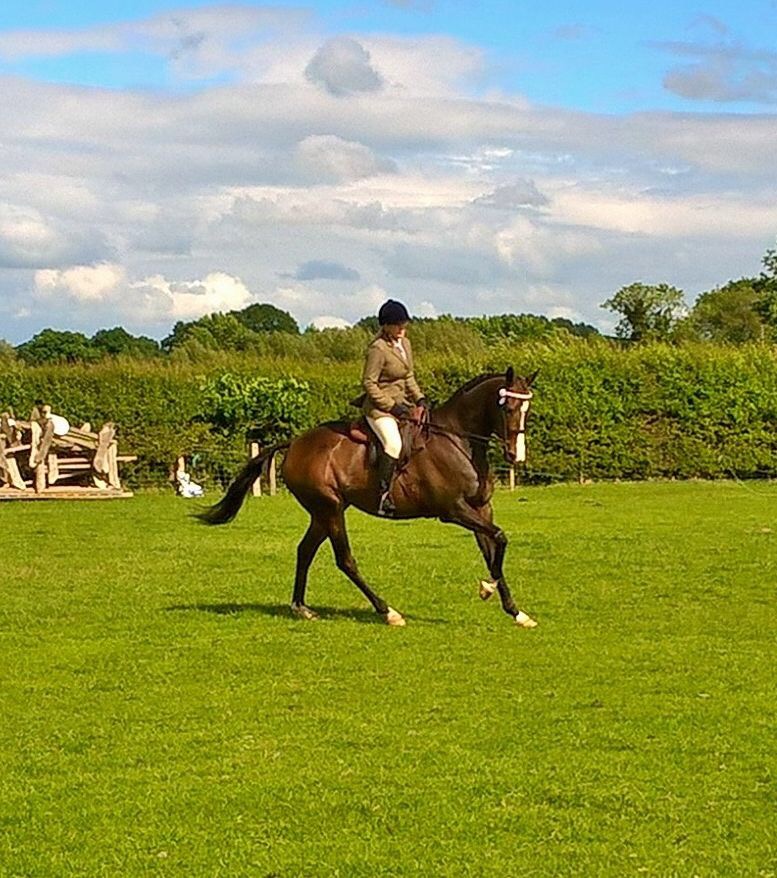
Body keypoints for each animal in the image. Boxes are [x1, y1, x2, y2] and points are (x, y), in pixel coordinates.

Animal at [197, 368, 536, 628]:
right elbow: (500, 539)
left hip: (322, 512)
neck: (459, 440)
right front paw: (488, 588)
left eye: (526, 411)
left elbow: (494, 548)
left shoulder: (481, 509)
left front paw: (515, 611)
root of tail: (295, 443)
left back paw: (301, 608)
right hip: (331, 509)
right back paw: (388, 612)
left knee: (305, 551)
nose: (515, 456)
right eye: (506, 408)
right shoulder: (454, 510)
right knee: (345, 560)